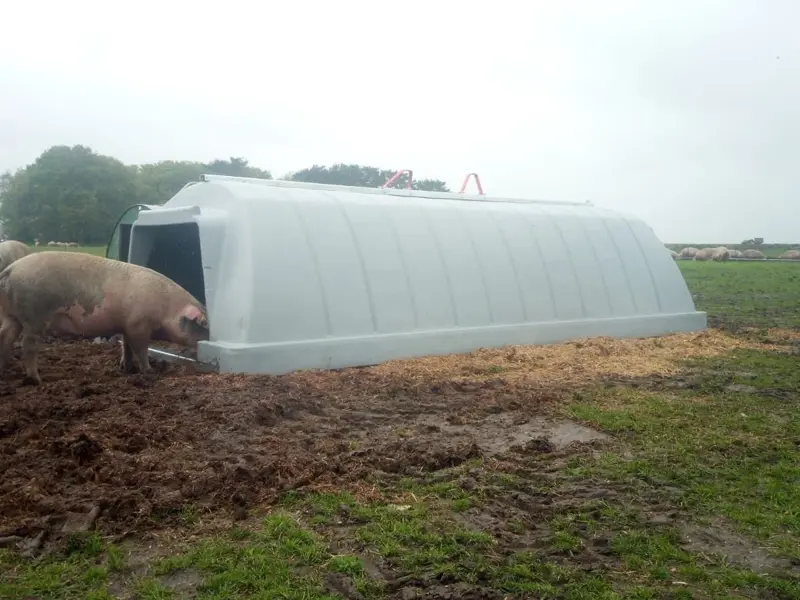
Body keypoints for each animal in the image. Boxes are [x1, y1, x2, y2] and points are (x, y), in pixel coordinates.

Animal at [0, 251, 209, 384]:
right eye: (204, 327)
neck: (167, 308)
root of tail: (10, 269)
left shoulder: (127, 326)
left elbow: (127, 347)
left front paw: (127, 369)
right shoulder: (139, 326)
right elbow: (140, 349)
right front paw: (150, 372)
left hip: (11, 316)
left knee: (5, 337)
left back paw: (4, 371)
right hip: (34, 316)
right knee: (28, 345)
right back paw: (36, 380)